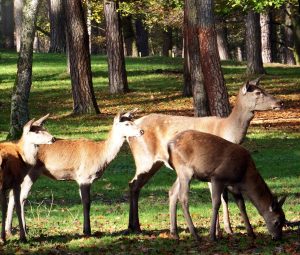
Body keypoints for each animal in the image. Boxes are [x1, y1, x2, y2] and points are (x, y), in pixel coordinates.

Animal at [0, 114, 54, 242]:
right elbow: (18, 205)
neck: (23, 158)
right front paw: (22, 236)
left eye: (45, 128)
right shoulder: (16, 182)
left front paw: (3, 237)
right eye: (37, 131)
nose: (53, 138)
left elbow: (4, 208)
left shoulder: (4, 187)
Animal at [4, 111, 144, 237]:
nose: (141, 131)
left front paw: (85, 229)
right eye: (127, 124)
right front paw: (87, 231)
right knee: (21, 197)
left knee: (12, 195)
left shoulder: (80, 179)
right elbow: (87, 202)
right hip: (31, 173)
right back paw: (22, 231)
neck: (101, 155)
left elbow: (83, 200)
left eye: (133, 121)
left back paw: (9, 231)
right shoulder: (85, 177)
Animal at [123, 78, 282, 235]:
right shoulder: (213, 170)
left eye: (263, 88)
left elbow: (225, 197)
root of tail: (128, 134)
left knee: (137, 186)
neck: (227, 130)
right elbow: (220, 198)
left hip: (156, 163)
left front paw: (226, 229)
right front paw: (221, 230)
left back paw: (139, 227)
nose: (280, 102)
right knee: (134, 183)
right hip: (144, 159)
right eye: (258, 92)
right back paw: (136, 227)